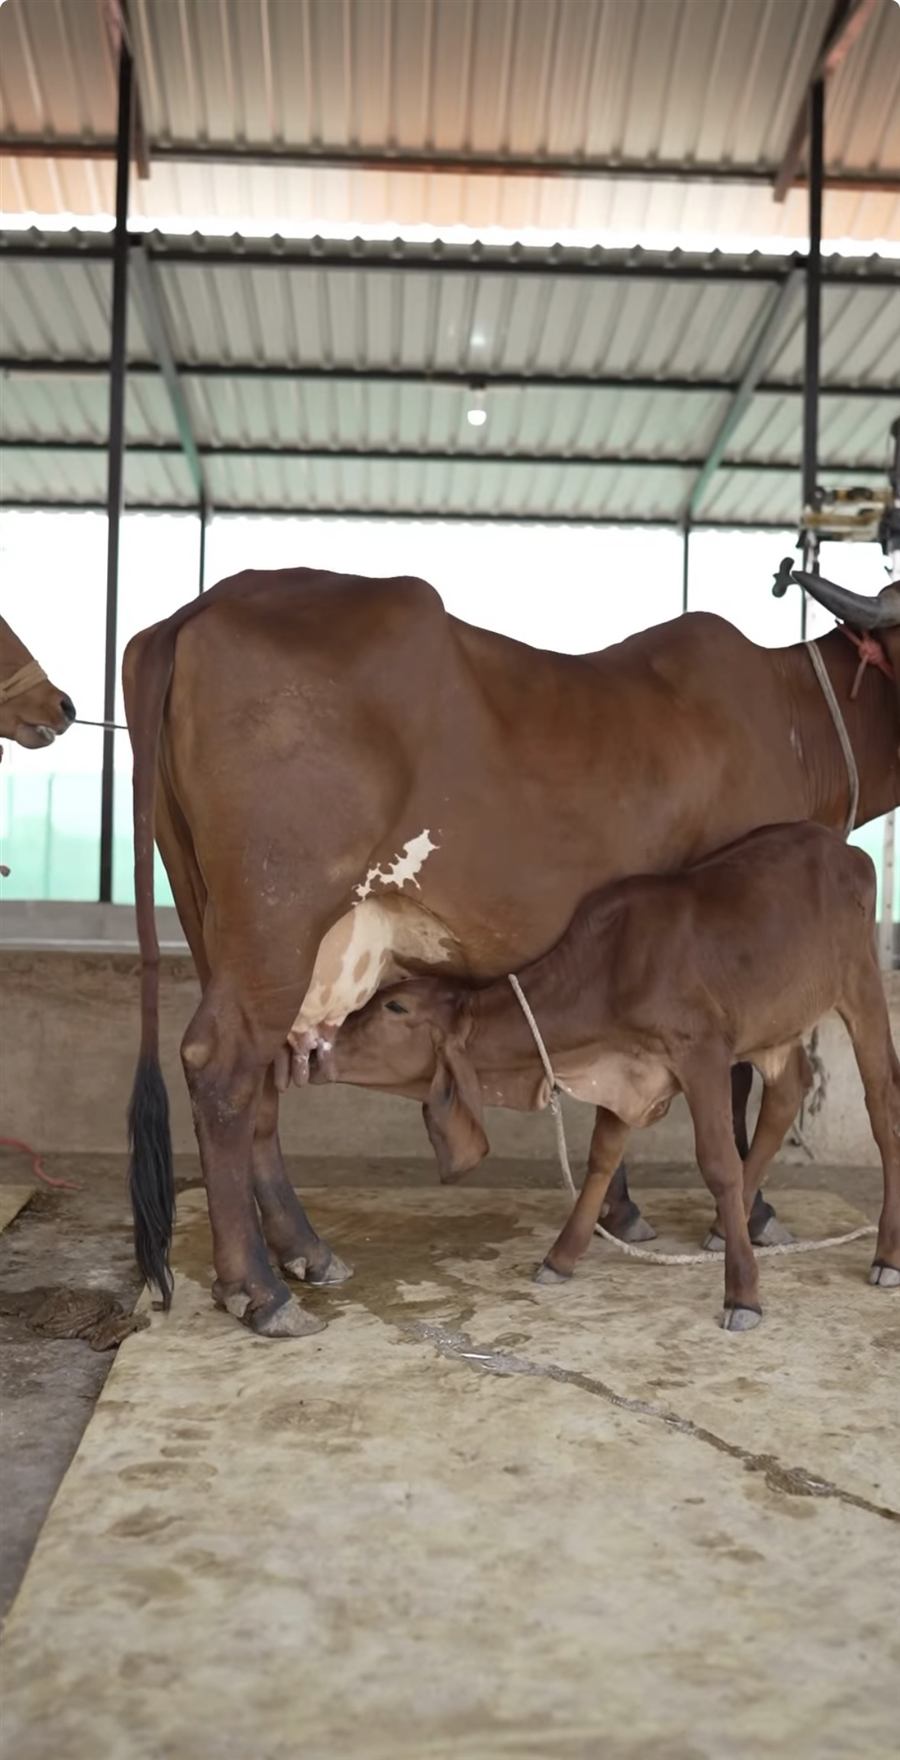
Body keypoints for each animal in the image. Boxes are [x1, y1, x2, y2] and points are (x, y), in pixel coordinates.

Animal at [315, 821, 900, 1328]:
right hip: (775, 1023)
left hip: (862, 985)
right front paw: (560, 1257)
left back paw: (885, 1254)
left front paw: (743, 1294)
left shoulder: (701, 1053)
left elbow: (718, 1165)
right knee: (789, 1090)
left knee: (881, 1104)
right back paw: (720, 1227)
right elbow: (601, 1159)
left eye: (395, 1008)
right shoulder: (626, 1071)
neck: (608, 970)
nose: (320, 1046)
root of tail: (842, 847)